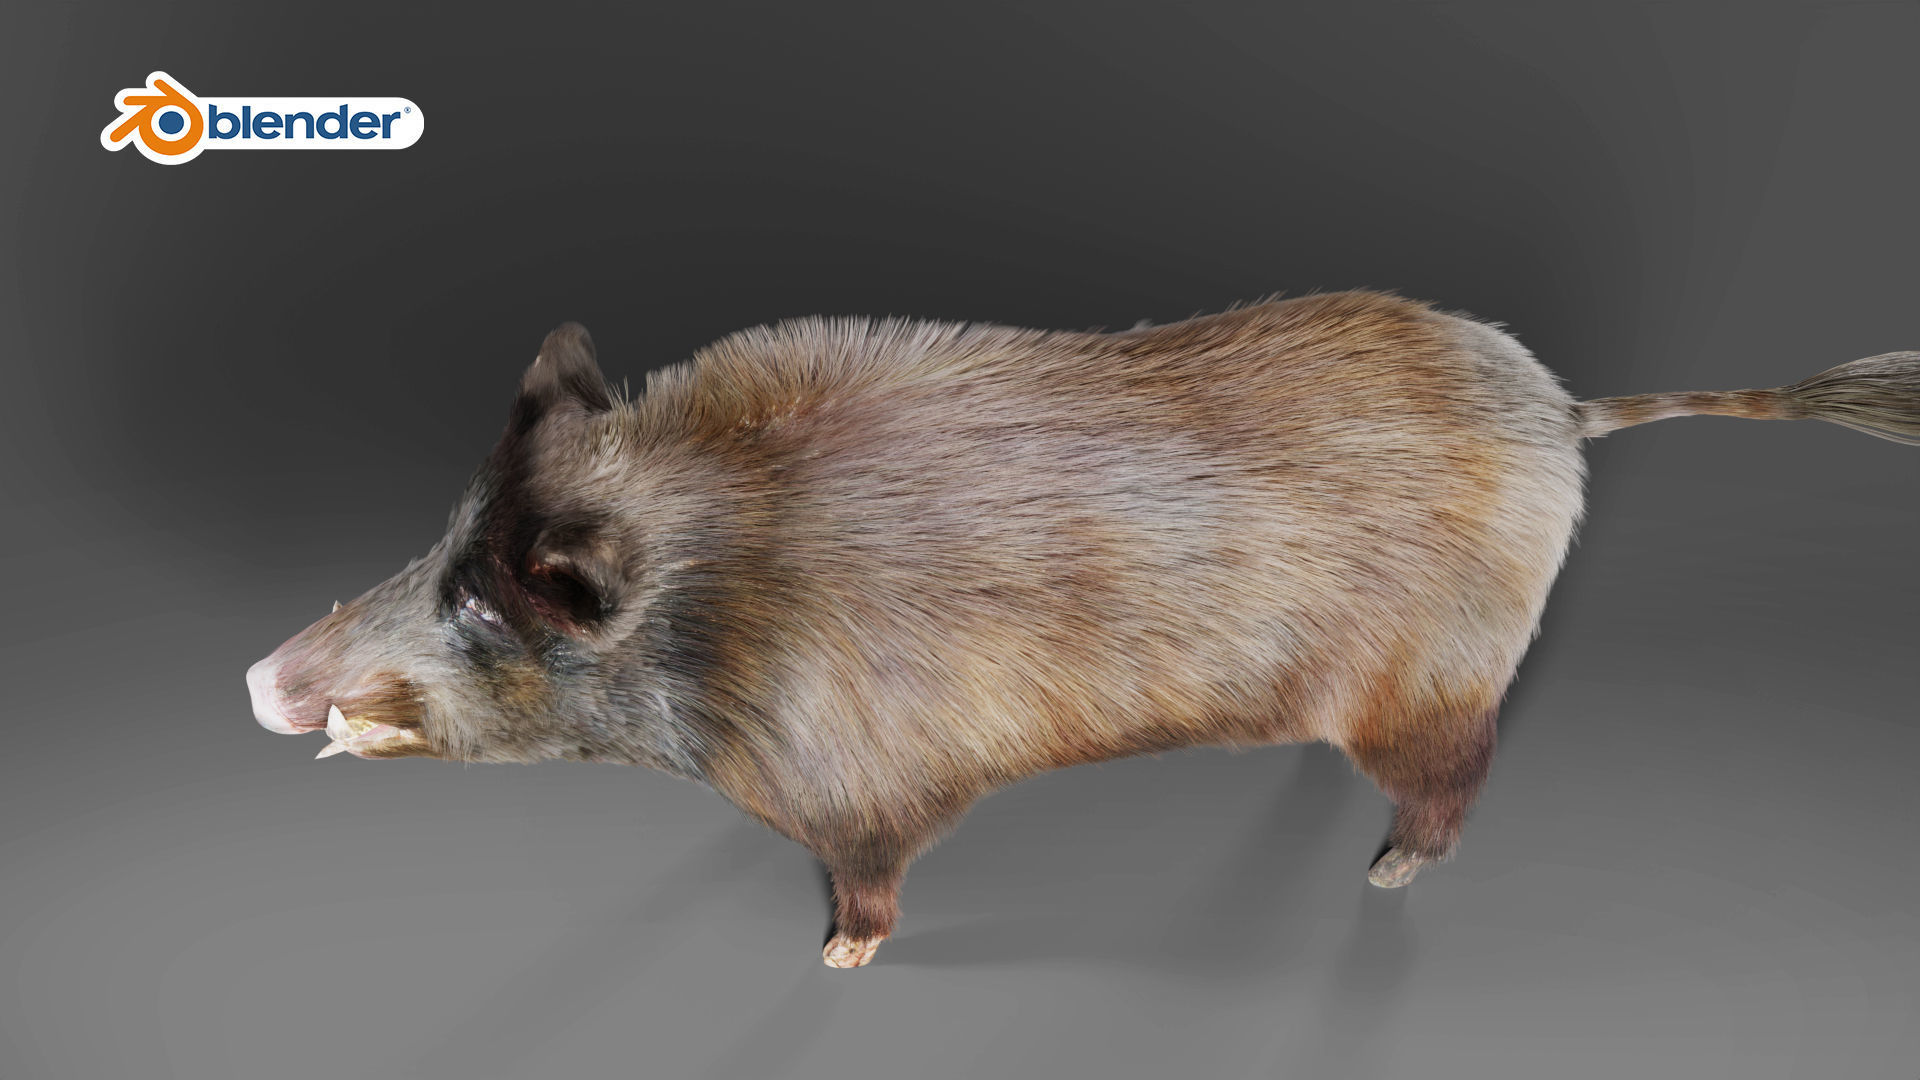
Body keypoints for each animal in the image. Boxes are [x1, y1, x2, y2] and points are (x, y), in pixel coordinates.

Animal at [246, 290, 1920, 967]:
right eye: (442, 541)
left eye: (484, 598)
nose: (258, 676)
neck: (721, 600)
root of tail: (1570, 415)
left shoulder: (875, 795)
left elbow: (872, 887)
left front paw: (839, 962)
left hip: (1435, 686)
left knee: (1456, 783)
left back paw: (1387, 868)